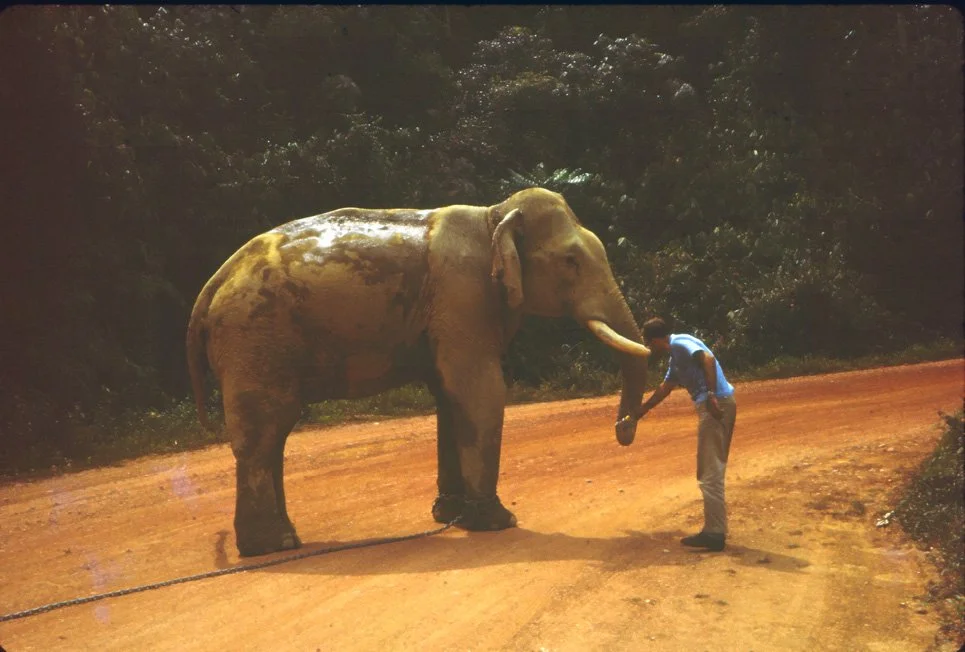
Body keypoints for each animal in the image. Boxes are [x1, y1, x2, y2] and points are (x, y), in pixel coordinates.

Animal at [186, 187, 651, 556]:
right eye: (571, 261)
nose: (623, 430)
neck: (495, 214)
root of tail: (211, 287)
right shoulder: (463, 293)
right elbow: (480, 390)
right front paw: (497, 523)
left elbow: (450, 394)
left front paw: (451, 516)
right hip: (254, 337)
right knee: (266, 429)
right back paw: (272, 546)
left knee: (270, 436)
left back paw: (282, 542)